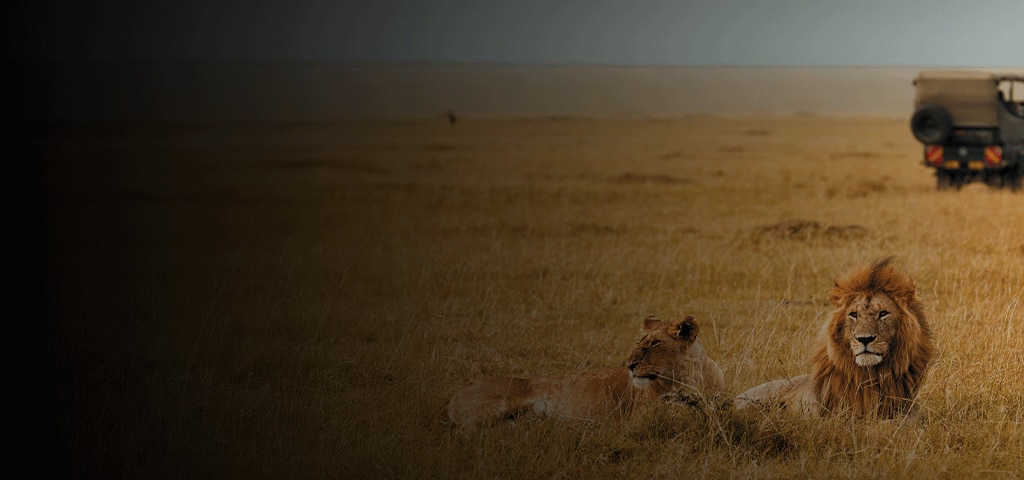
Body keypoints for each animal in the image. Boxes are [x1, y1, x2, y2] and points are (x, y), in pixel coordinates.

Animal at [435, 315, 726, 428]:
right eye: (639, 343)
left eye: (654, 344)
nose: (629, 365)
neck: (691, 377)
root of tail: (451, 397)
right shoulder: (639, 419)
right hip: (491, 408)